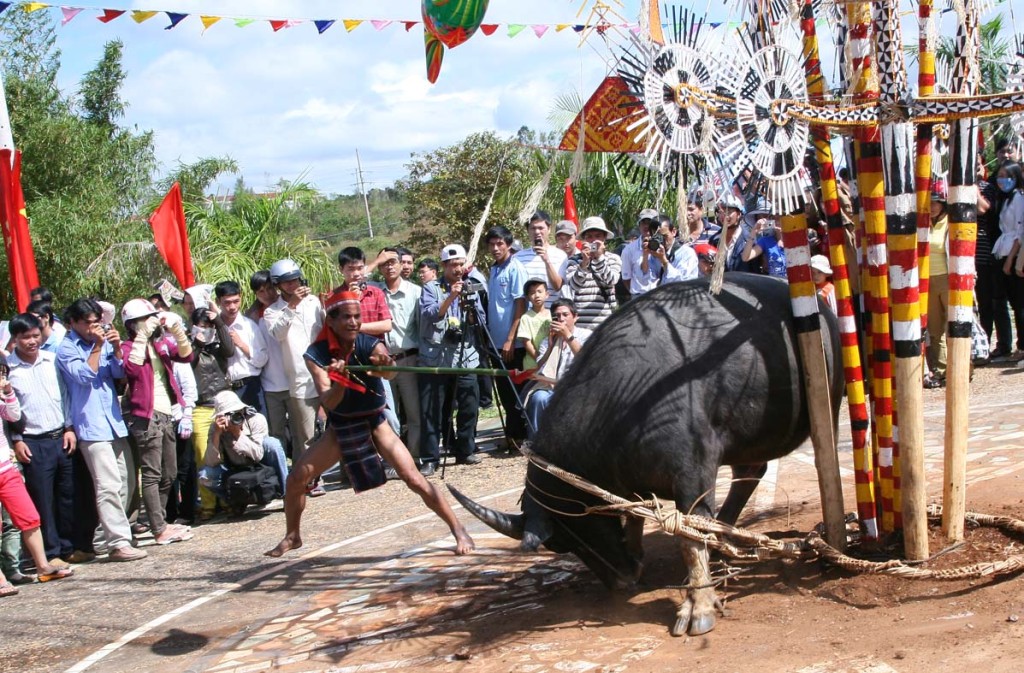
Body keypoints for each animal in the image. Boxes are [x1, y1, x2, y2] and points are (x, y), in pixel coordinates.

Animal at [452, 272, 843, 635]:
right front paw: (637, 551)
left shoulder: (692, 473)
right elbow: (636, 511)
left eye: (564, 538)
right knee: (751, 470)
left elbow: (688, 537)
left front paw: (698, 606)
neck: (618, 405)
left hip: (828, 403)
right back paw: (722, 535)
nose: (621, 579)